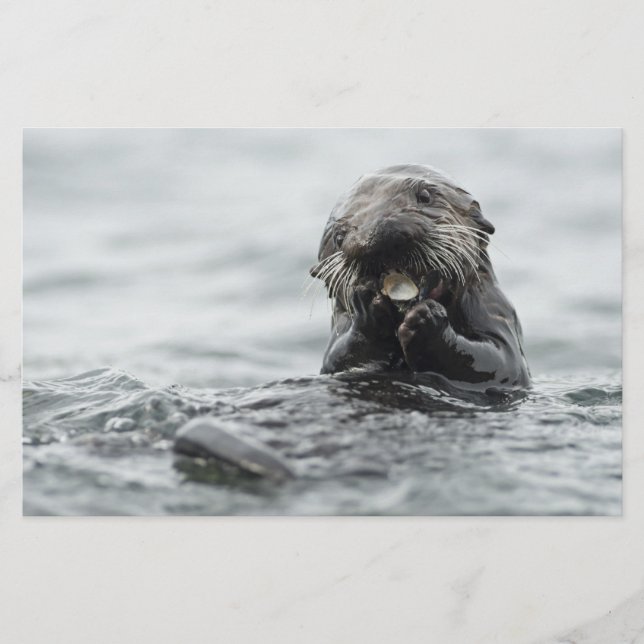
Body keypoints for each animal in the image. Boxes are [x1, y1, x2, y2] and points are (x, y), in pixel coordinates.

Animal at [311, 164, 530, 389]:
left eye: (424, 196)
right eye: (338, 237)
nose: (377, 235)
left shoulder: (495, 310)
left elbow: (501, 361)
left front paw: (427, 319)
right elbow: (339, 359)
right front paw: (368, 308)